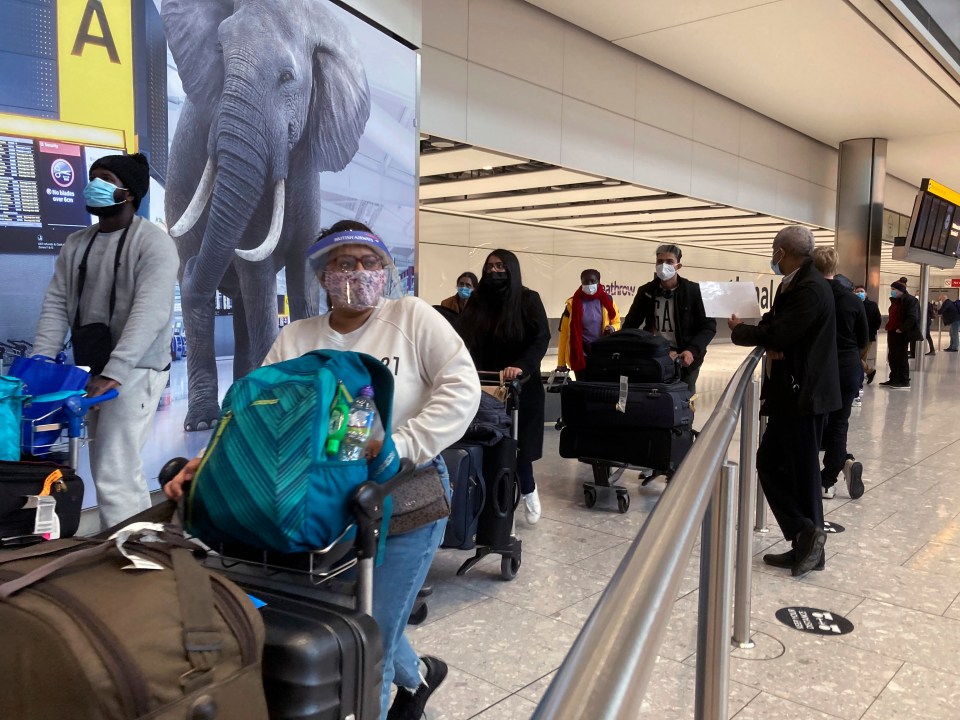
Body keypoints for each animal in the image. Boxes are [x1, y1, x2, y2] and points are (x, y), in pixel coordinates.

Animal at [161, 0, 372, 428]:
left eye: (287, 77)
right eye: (220, 54)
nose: (190, 268)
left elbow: (302, 275)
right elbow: (256, 270)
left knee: (241, 304)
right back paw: (205, 421)